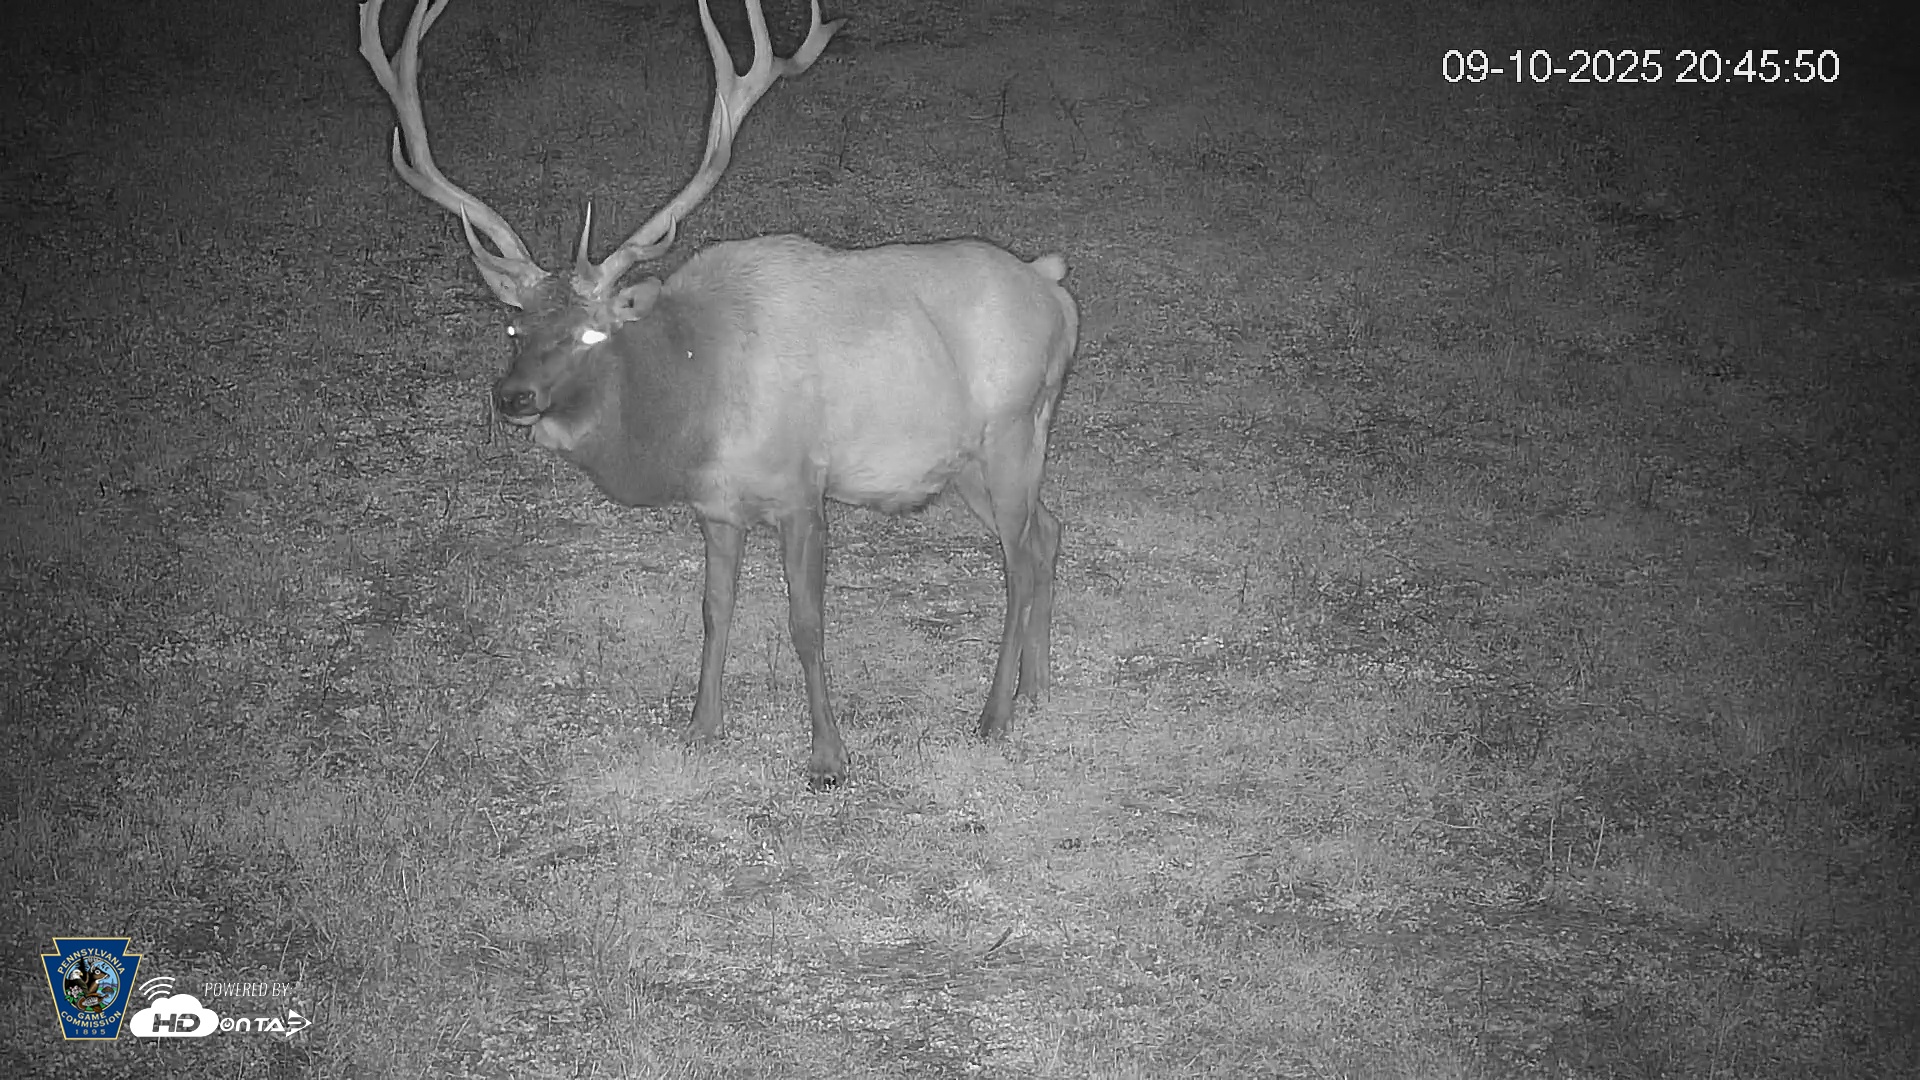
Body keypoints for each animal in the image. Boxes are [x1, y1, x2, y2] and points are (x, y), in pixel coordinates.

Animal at [358, 0, 1078, 786]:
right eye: (514, 325)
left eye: (590, 334)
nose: (512, 397)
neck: (694, 404)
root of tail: (1054, 287)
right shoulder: (715, 507)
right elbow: (715, 608)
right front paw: (702, 727)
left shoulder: (800, 490)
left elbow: (805, 621)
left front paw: (828, 755)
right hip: (971, 461)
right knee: (1047, 534)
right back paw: (1038, 687)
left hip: (1011, 431)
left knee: (1018, 561)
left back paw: (996, 714)